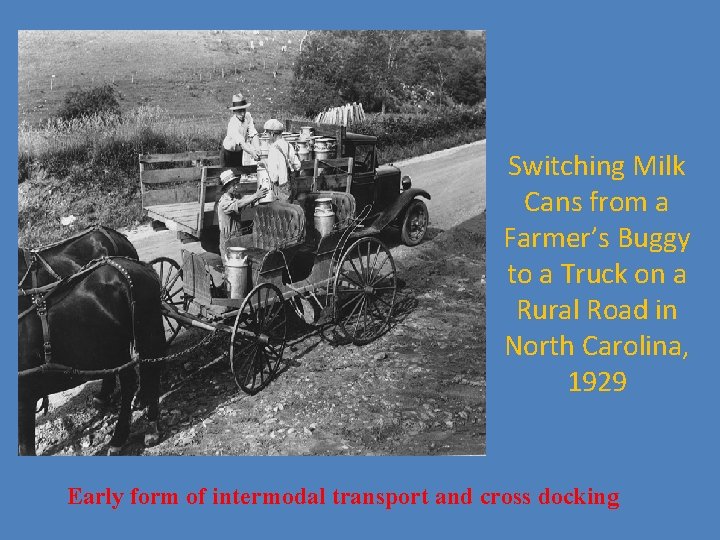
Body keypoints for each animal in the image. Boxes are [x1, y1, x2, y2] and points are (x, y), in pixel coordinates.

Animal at [19, 258, 167, 456]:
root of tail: (139, 266)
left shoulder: (24, 398)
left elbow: (25, 447)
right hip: (114, 348)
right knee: (134, 378)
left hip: (147, 331)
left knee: (149, 372)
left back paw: (146, 428)